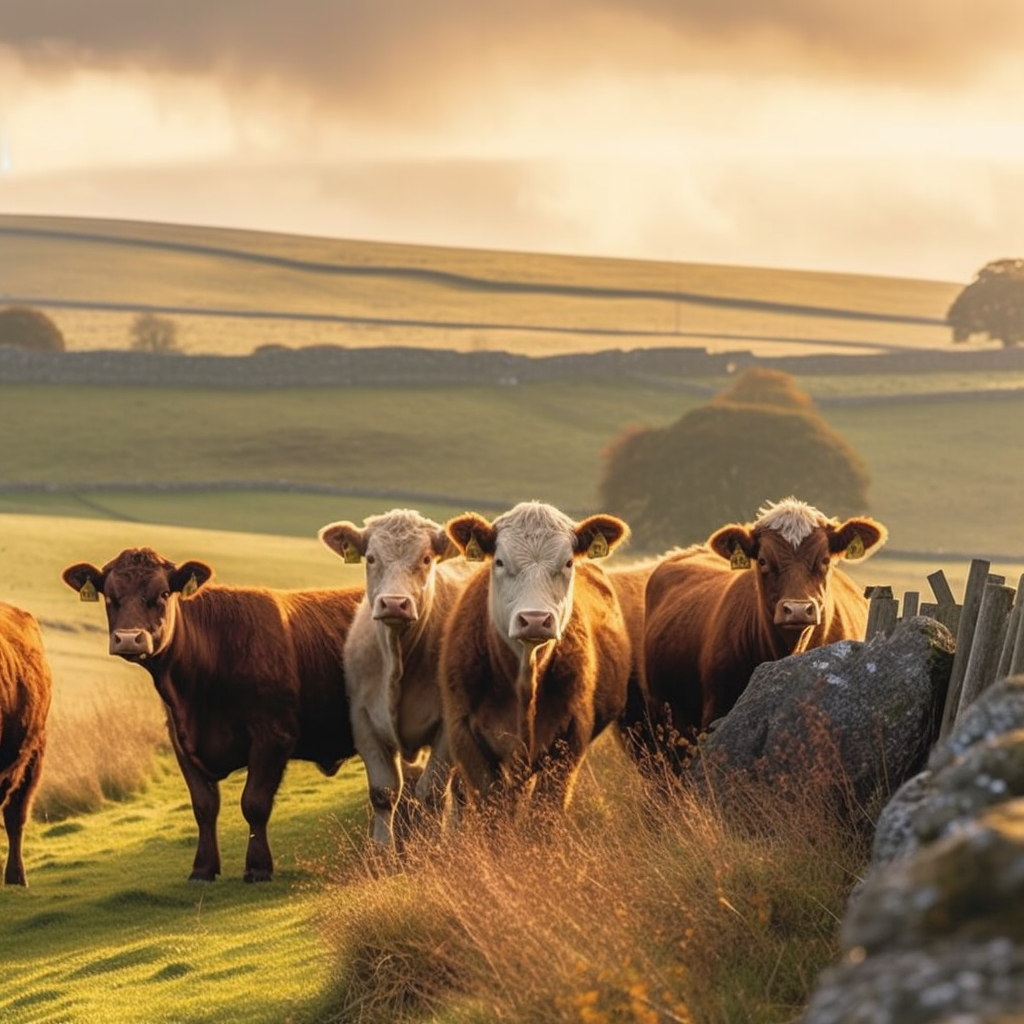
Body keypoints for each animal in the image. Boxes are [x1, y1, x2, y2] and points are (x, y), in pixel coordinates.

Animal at [60, 548, 364, 884]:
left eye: (163, 594)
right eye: (110, 596)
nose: (128, 639)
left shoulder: (273, 734)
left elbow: (254, 803)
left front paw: (258, 867)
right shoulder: (180, 741)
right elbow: (204, 806)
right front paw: (202, 869)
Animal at [317, 507, 473, 851]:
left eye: (426, 558)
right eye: (371, 558)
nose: (393, 603)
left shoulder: (447, 727)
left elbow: (432, 791)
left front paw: (435, 846)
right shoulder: (363, 720)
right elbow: (383, 792)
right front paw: (382, 850)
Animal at [440, 499, 630, 819]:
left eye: (568, 563)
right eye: (499, 562)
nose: (535, 620)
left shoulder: (570, 739)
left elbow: (545, 814)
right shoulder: (466, 737)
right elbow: (493, 813)